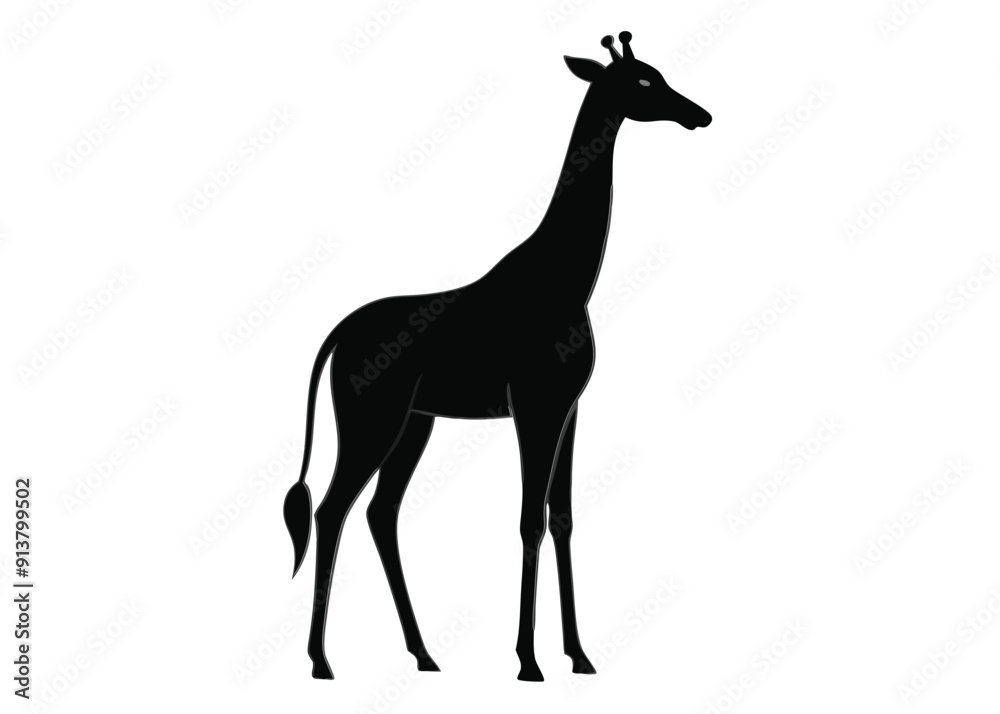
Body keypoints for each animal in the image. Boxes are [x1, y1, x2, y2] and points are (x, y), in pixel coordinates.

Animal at [283, 31, 711, 681]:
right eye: (643, 81)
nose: (699, 115)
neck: (568, 278)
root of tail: (338, 333)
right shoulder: (533, 405)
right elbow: (529, 518)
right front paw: (528, 660)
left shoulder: (569, 407)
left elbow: (561, 517)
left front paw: (579, 655)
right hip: (371, 419)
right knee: (333, 510)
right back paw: (321, 661)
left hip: (414, 423)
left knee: (381, 513)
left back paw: (424, 654)